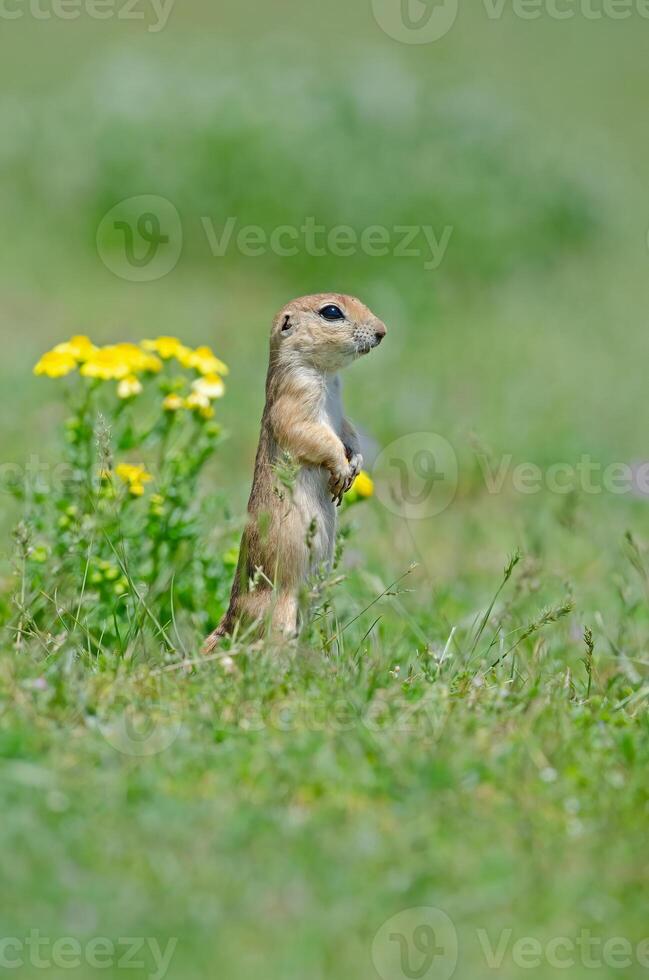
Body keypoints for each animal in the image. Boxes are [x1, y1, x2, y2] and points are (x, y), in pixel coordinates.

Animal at [202, 292, 384, 652]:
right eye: (332, 312)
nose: (382, 331)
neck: (328, 376)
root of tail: (230, 617)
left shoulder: (342, 417)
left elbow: (349, 432)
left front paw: (355, 465)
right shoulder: (295, 398)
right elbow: (311, 434)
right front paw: (341, 469)